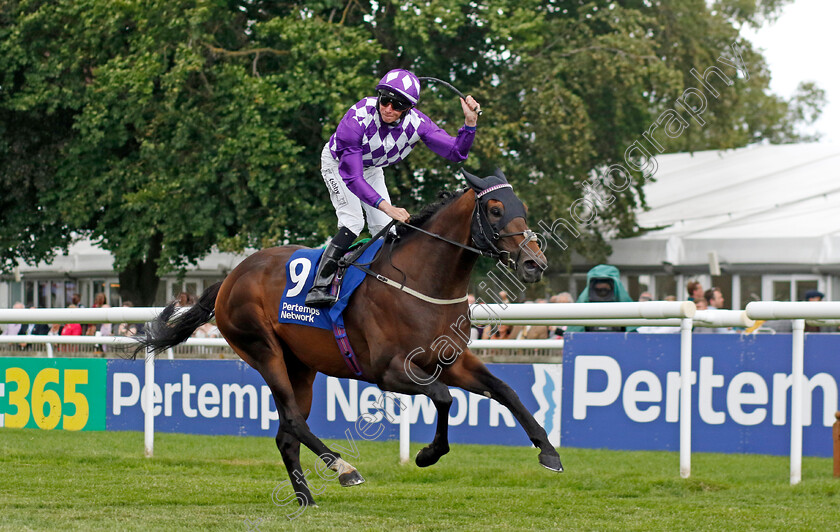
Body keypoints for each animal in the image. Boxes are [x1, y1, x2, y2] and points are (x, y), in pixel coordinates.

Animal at [136, 169, 564, 508]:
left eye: (521, 206)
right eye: (495, 210)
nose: (535, 263)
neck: (423, 281)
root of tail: (230, 277)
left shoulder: (451, 360)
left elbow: (505, 391)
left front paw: (549, 451)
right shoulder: (389, 371)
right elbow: (444, 397)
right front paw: (427, 454)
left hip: (301, 366)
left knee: (286, 434)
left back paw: (306, 497)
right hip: (263, 351)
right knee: (293, 420)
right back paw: (343, 468)